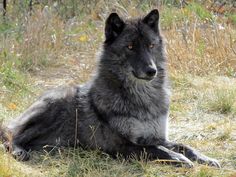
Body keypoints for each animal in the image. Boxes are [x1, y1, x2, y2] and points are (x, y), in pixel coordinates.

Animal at [0, 9, 220, 167]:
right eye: (130, 47)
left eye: (150, 45)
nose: (152, 71)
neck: (143, 97)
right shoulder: (120, 145)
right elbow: (156, 150)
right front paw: (179, 158)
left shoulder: (155, 136)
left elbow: (184, 145)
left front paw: (206, 158)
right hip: (52, 105)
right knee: (11, 135)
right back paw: (19, 150)